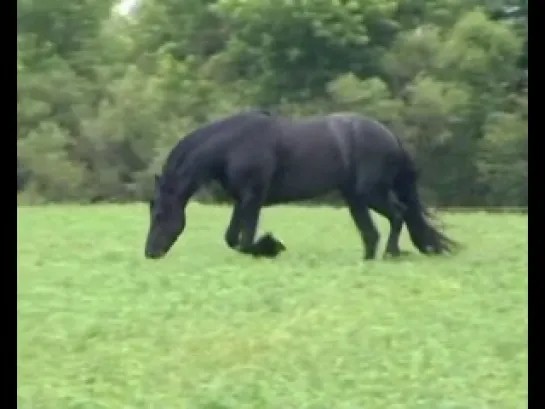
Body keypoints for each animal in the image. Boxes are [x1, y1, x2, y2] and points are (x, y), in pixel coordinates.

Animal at [143, 110, 454, 260]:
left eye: (159, 214)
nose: (150, 253)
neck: (231, 147)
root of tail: (392, 138)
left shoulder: (253, 198)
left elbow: (244, 241)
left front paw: (271, 246)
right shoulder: (242, 200)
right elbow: (232, 238)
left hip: (371, 193)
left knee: (398, 215)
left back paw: (392, 254)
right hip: (355, 198)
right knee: (372, 232)